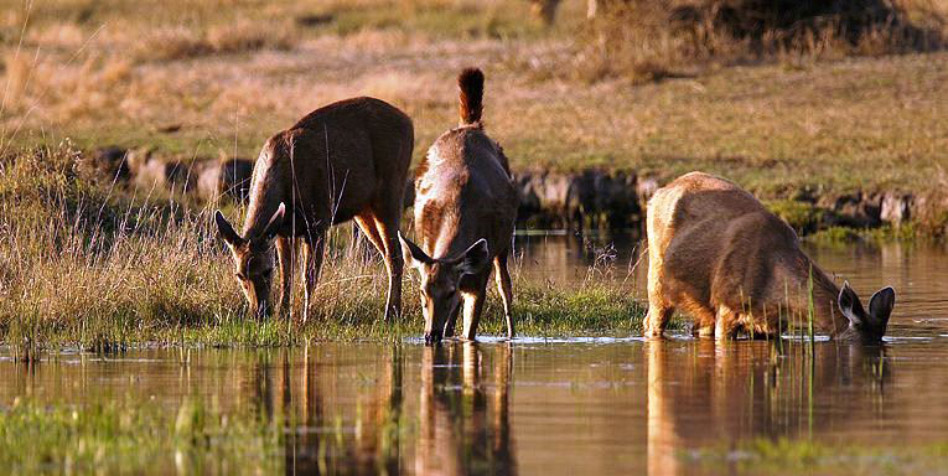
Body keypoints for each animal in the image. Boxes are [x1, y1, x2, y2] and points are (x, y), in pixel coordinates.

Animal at [217, 96, 412, 320]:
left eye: (267, 270)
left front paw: (305, 316)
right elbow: (287, 274)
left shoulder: (318, 220)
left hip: (391, 189)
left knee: (395, 253)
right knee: (387, 252)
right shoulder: (284, 230)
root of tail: (409, 122)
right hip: (363, 208)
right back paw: (393, 310)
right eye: (239, 274)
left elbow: (309, 275)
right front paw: (284, 313)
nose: (260, 312)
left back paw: (391, 313)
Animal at [398, 67, 520, 344]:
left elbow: (470, 334)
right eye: (422, 292)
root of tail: (470, 125)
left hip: (503, 243)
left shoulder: (477, 279)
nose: (429, 335)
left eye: (450, 291)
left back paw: (511, 334)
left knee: (504, 284)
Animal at [644, 171, 896, 342]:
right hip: (657, 277)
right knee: (650, 321)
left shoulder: (772, 323)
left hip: (701, 303)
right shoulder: (726, 303)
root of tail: (657, 193)